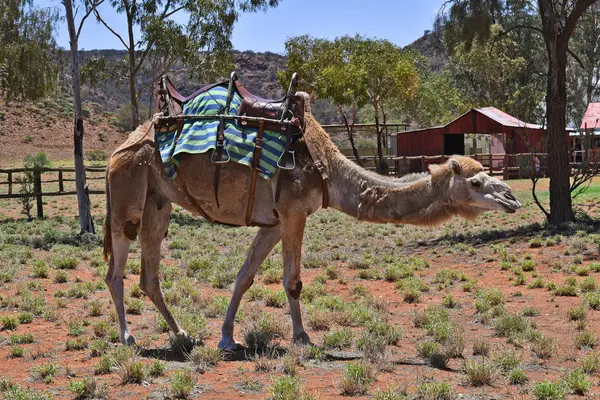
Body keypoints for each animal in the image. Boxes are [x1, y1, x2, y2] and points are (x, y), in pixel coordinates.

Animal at [103, 92, 520, 348]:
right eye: (477, 181)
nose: (512, 198)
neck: (327, 170)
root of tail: (116, 150)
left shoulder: (273, 221)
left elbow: (244, 275)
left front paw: (225, 338)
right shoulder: (293, 212)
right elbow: (293, 281)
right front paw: (302, 337)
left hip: (158, 202)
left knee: (149, 274)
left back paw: (182, 334)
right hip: (128, 189)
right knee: (116, 269)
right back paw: (127, 338)